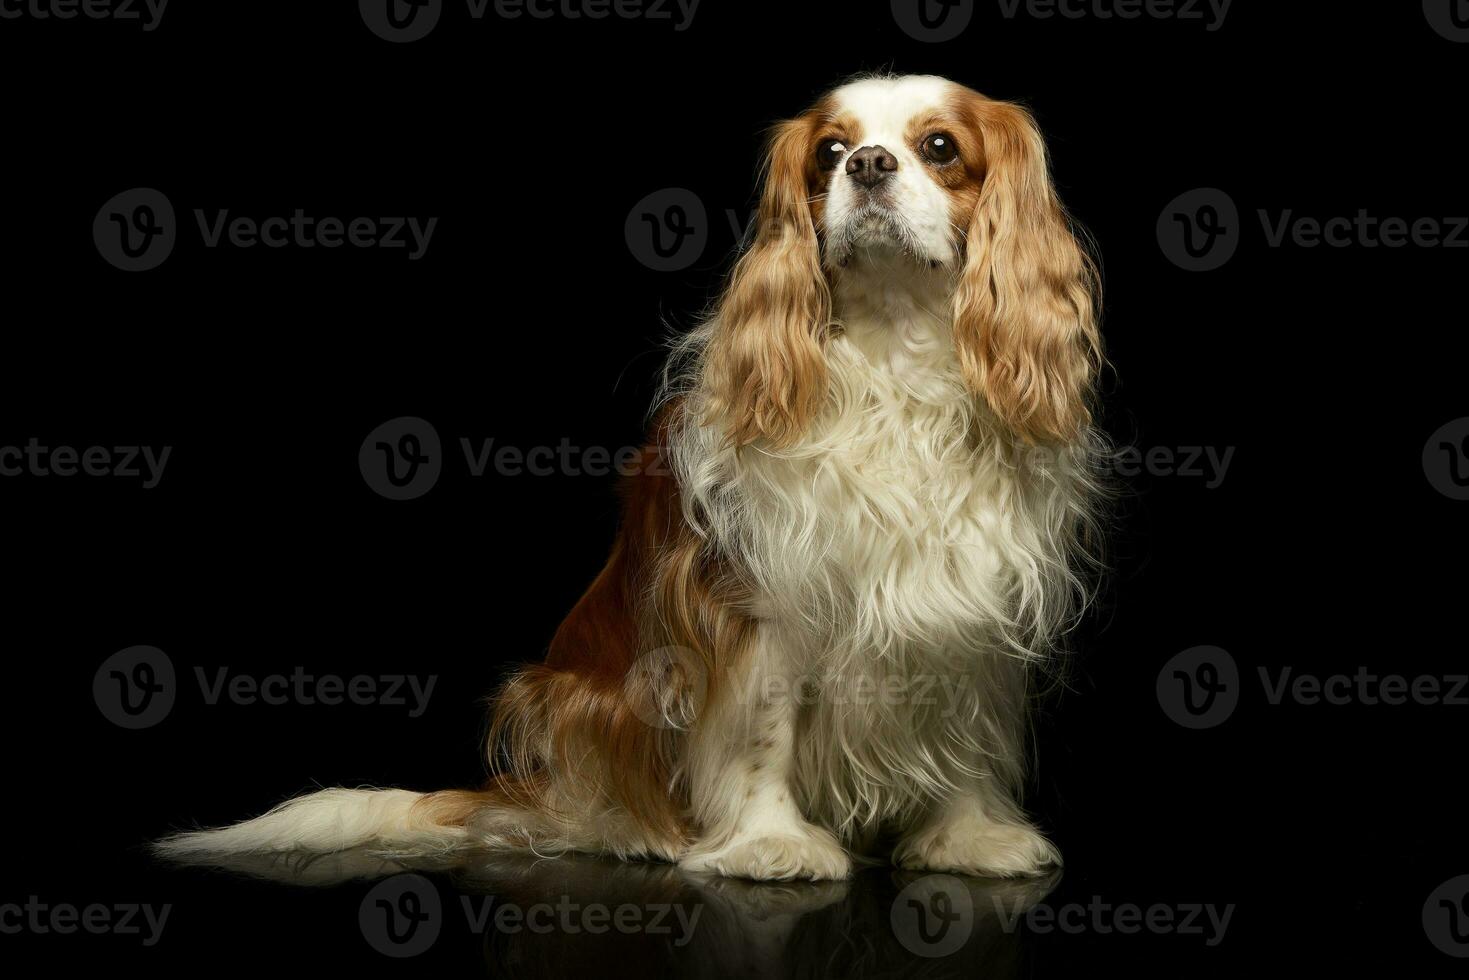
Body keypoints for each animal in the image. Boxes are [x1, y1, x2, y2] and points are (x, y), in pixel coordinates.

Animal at [157, 70, 1104, 881]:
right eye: (829, 153)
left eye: (939, 147)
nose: (868, 165)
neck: (892, 348)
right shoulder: (752, 597)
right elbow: (762, 729)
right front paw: (768, 843)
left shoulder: (969, 594)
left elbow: (966, 722)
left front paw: (969, 834)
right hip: (582, 698)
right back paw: (631, 830)